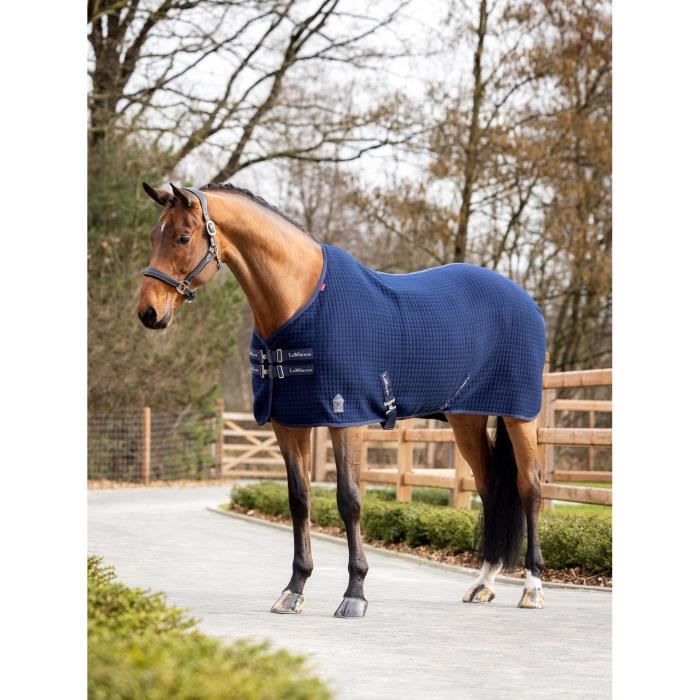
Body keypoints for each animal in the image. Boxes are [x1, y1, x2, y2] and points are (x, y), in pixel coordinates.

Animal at [138, 182, 547, 617]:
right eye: (153, 237)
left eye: (183, 238)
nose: (148, 311)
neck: (302, 303)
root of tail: (525, 300)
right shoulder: (288, 422)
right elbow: (299, 500)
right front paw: (294, 589)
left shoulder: (345, 418)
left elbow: (349, 500)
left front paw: (355, 593)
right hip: (466, 418)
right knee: (488, 488)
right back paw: (483, 583)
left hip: (520, 416)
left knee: (529, 485)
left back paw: (532, 586)